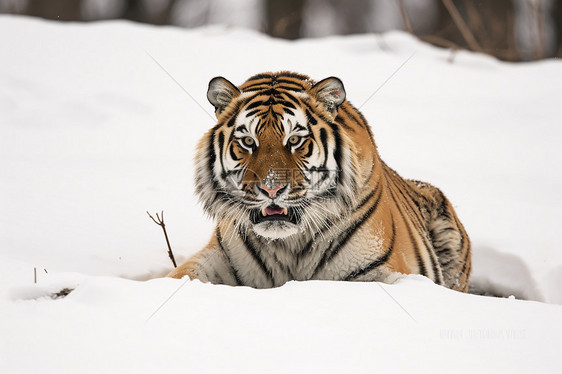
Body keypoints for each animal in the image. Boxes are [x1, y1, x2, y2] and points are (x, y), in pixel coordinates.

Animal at [168, 71, 470, 292]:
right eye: (248, 142)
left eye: (294, 140)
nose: (271, 188)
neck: (289, 245)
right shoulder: (217, 258)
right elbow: (179, 276)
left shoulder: (386, 270)